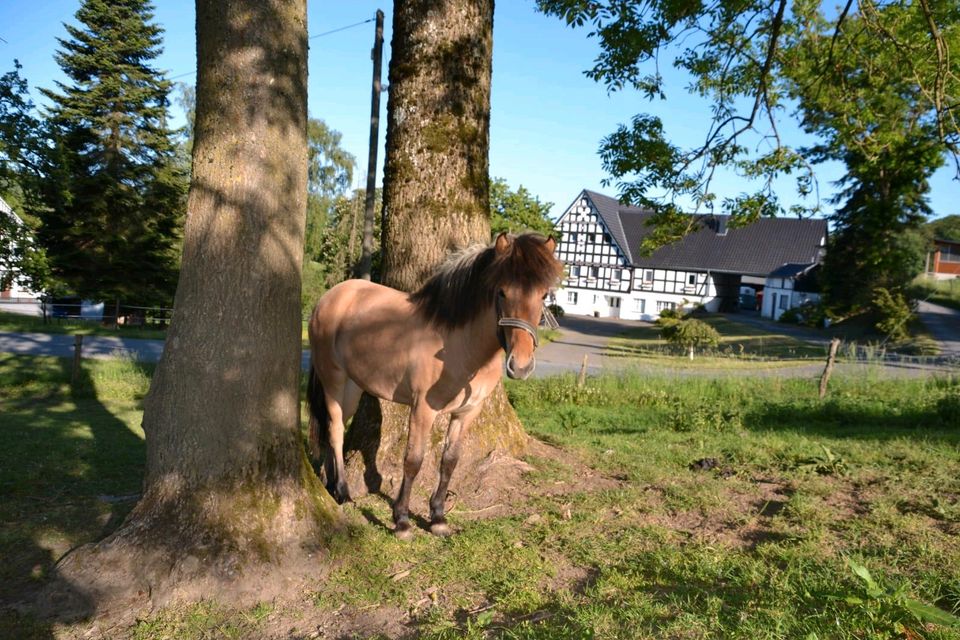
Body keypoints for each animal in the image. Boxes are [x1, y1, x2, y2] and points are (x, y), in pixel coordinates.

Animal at [308, 232, 564, 536]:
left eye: (543, 294)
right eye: (502, 292)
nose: (521, 365)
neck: (459, 344)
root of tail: (330, 296)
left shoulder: (467, 412)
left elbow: (450, 461)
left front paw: (438, 518)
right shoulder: (422, 409)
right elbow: (413, 461)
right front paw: (402, 520)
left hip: (353, 386)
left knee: (332, 431)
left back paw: (330, 485)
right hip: (333, 380)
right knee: (335, 430)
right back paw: (344, 494)